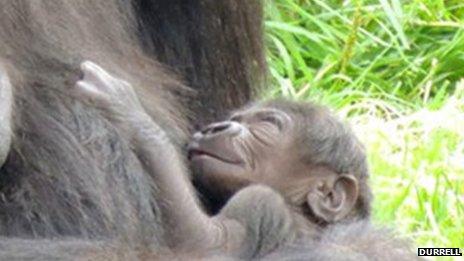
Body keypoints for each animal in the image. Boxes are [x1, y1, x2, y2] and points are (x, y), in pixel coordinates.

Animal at [76, 60, 416, 258]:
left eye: (266, 125)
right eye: (237, 119)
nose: (216, 127)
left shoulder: (261, 204)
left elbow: (202, 242)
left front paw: (129, 113)